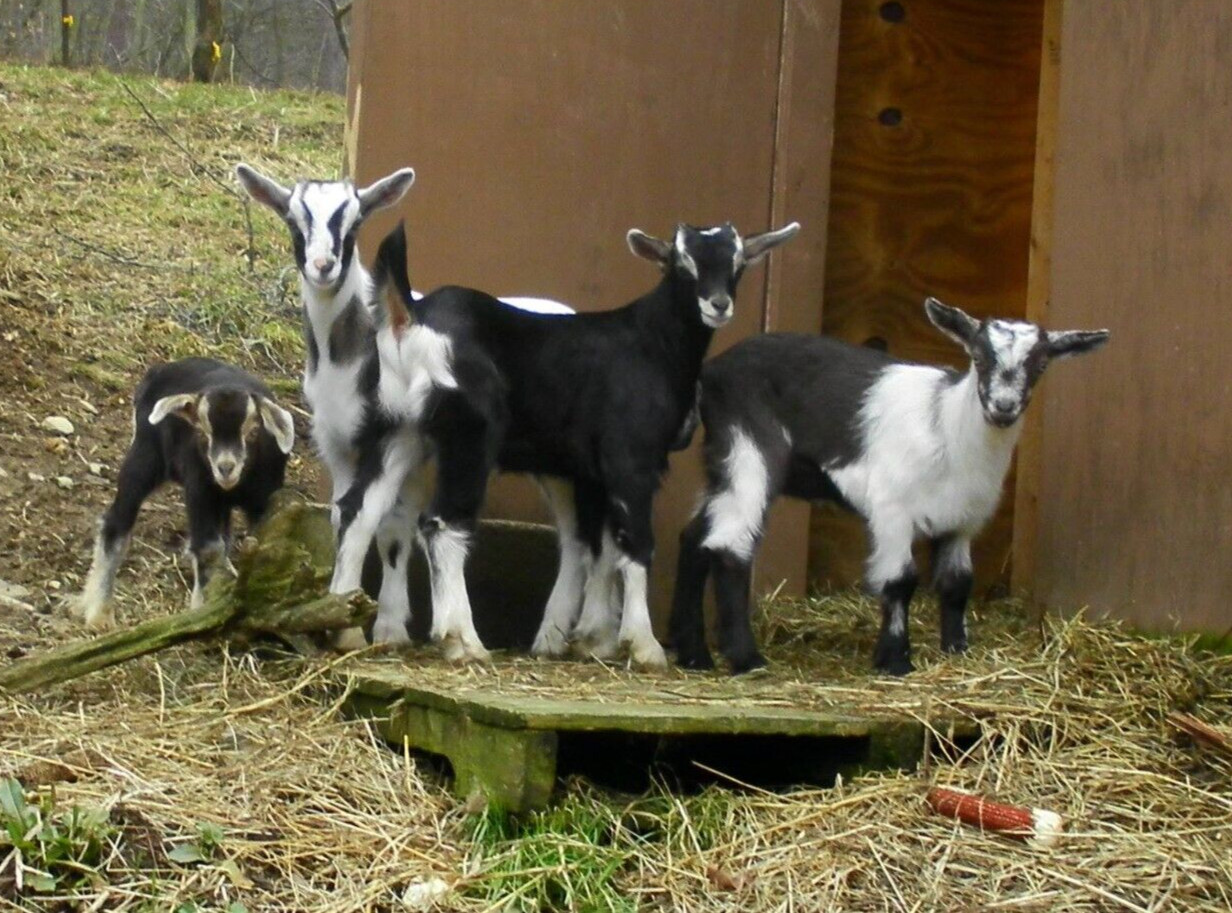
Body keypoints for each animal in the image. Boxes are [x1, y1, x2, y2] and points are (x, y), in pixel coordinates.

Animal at [70, 358, 295, 629]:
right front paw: (203, 610)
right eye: (202, 433)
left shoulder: (263, 497)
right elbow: (208, 548)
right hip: (144, 457)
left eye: (252, 432)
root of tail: (159, 370)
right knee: (116, 521)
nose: (225, 468)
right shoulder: (199, 490)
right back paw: (100, 613)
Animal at [374, 218, 799, 667]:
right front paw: (643, 645)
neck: (653, 343)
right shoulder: (631, 457)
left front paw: (596, 638)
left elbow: (602, 546)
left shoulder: (592, 472)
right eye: (682, 263)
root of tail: (412, 317)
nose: (718, 304)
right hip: (470, 437)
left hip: (400, 433)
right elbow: (637, 542)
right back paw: (463, 640)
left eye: (738, 263)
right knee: (442, 523)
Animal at [670, 297, 1109, 675]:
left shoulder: (962, 521)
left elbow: (957, 584)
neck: (945, 424)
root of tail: (712, 373)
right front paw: (896, 660)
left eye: (1040, 364)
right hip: (750, 447)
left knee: (694, 537)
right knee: (729, 545)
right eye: (979, 357)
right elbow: (900, 580)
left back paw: (693, 654)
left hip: (724, 463)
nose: (1003, 407)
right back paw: (747, 659)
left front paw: (957, 651)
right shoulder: (892, 510)